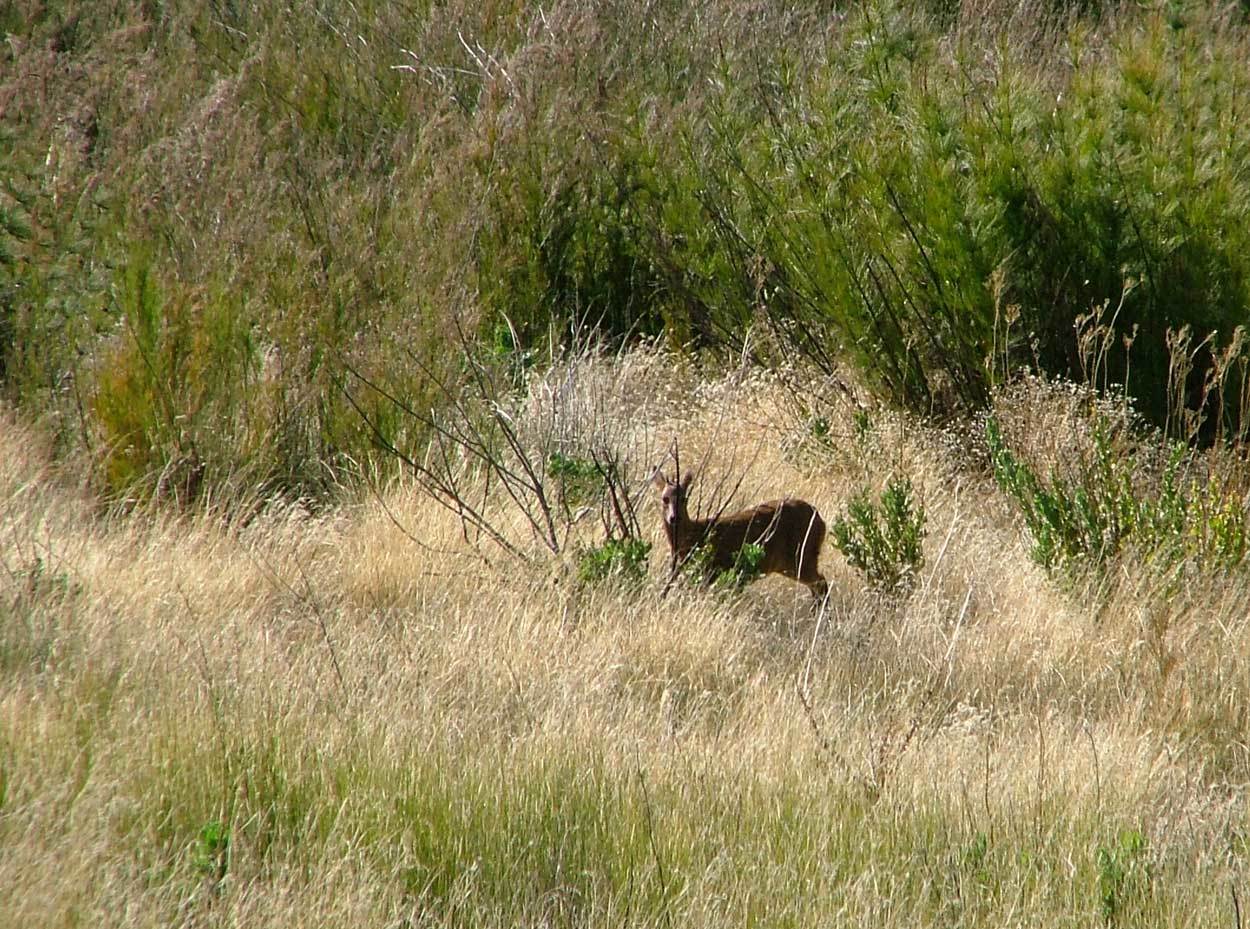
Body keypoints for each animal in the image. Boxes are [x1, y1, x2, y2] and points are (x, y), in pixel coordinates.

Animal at [655, 467, 830, 600]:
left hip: (801, 555)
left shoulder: (711, 571)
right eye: (665, 498)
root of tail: (821, 521)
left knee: (821, 584)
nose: (674, 517)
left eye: (684, 498)